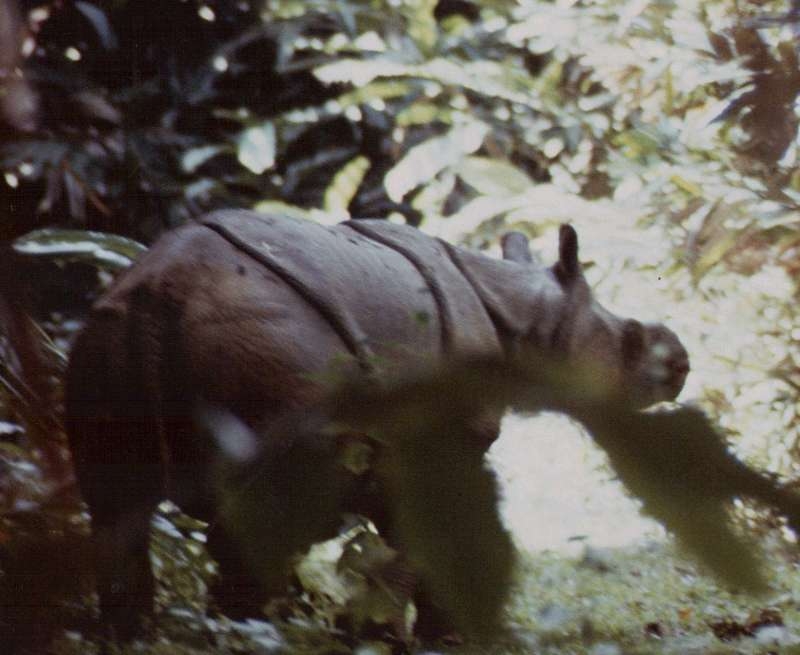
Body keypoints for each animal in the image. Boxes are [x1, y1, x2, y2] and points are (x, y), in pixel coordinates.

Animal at [64, 210, 689, 636]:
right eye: (630, 341)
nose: (681, 363)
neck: (526, 318)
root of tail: (159, 296)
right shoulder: (444, 441)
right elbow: (427, 545)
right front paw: (424, 639)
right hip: (265, 351)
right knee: (255, 524)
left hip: (103, 336)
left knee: (115, 513)